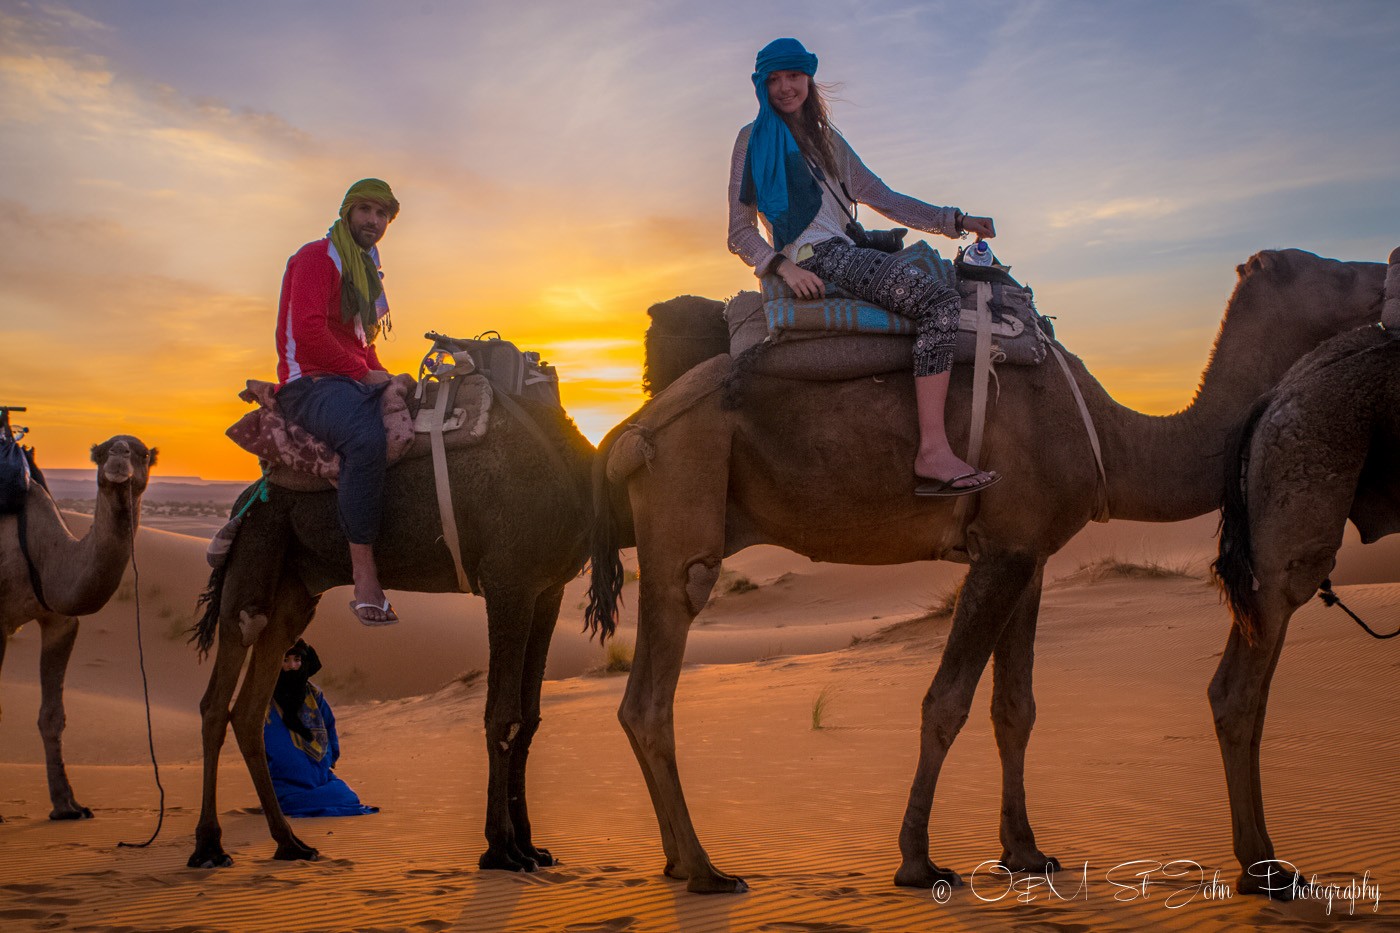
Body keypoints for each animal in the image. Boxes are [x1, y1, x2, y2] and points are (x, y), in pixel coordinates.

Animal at [0, 431, 157, 818]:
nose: (118, 457)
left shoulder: (60, 620)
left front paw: (67, 805)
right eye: (100, 453)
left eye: (143, 454)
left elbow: (53, 714)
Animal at [184, 395, 590, 868]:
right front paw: (502, 850)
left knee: (249, 708)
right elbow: (504, 717)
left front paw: (530, 847)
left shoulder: (547, 589)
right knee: (217, 700)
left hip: (294, 589)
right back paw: (209, 846)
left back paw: (290, 843)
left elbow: (529, 718)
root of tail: (242, 501)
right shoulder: (510, 582)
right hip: (252, 560)